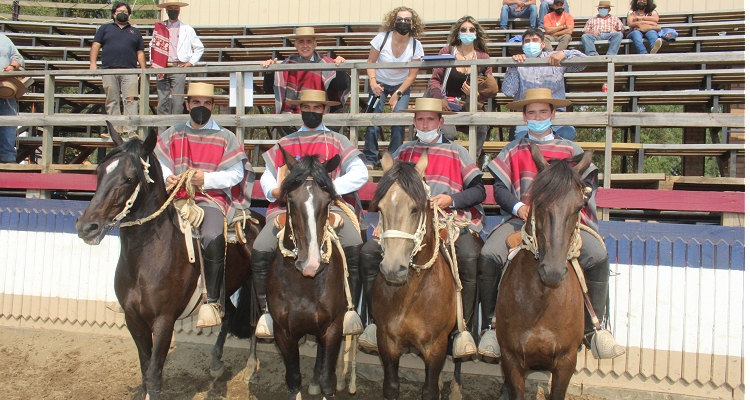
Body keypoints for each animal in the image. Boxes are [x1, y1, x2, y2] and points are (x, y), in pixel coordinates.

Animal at [76, 123, 264, 398]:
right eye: (99, 172)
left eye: (129, 178)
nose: (87, 227)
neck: (146, 259)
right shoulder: (133, 319)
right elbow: (145, 371)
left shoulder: (164, 321)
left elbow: (154, 376)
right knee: (228, 312)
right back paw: (216, 362)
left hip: (254, 283)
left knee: (253, 318)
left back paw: (251, 365)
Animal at [268, 149, 350, 400]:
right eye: (290, 200)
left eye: (328, 201)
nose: (311, 264)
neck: (304, 285)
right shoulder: (283, 332)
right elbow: (294, 379)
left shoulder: (333, 328)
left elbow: (327, 380)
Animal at [368, 153, 458, 400]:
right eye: (380, 209)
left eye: (415, 209)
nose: (392, 268)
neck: (410, 295)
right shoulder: (387, 341)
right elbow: (391, 386)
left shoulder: (436, 347)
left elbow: (430, 390)